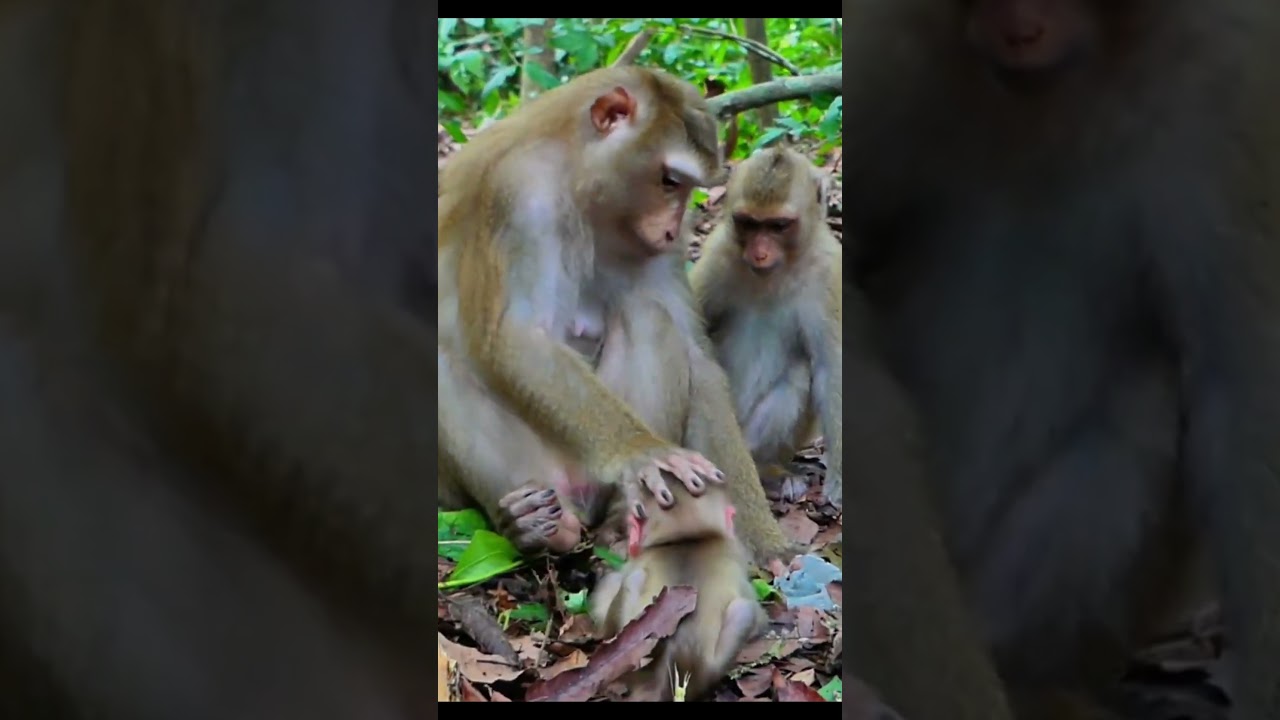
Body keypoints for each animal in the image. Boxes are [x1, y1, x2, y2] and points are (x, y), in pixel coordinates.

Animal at [437, 65, 795, 565]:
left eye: (686, 188)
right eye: (669, 181)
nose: (672, 229)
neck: (577, 179)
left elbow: (697, 357)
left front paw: (765, 542)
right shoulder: (518, 193)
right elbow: (516, 336)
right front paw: (641, 451)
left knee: (650, 316)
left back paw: (618, 523)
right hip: (530, 471)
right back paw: (535, 527)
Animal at [690, 146, 843, 508]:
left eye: (778, 226)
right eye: (748, 223)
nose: (759, 253)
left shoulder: (829, 273)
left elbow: (831, 370)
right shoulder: (718, 254)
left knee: (800, 372)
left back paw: (767, 471)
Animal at [841, 1, 1280, 718]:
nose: (1021, 22)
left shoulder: (1231, 77)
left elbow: (1243, 386)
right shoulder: (882, 49)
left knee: (1146, 394)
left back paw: (1030, 676)